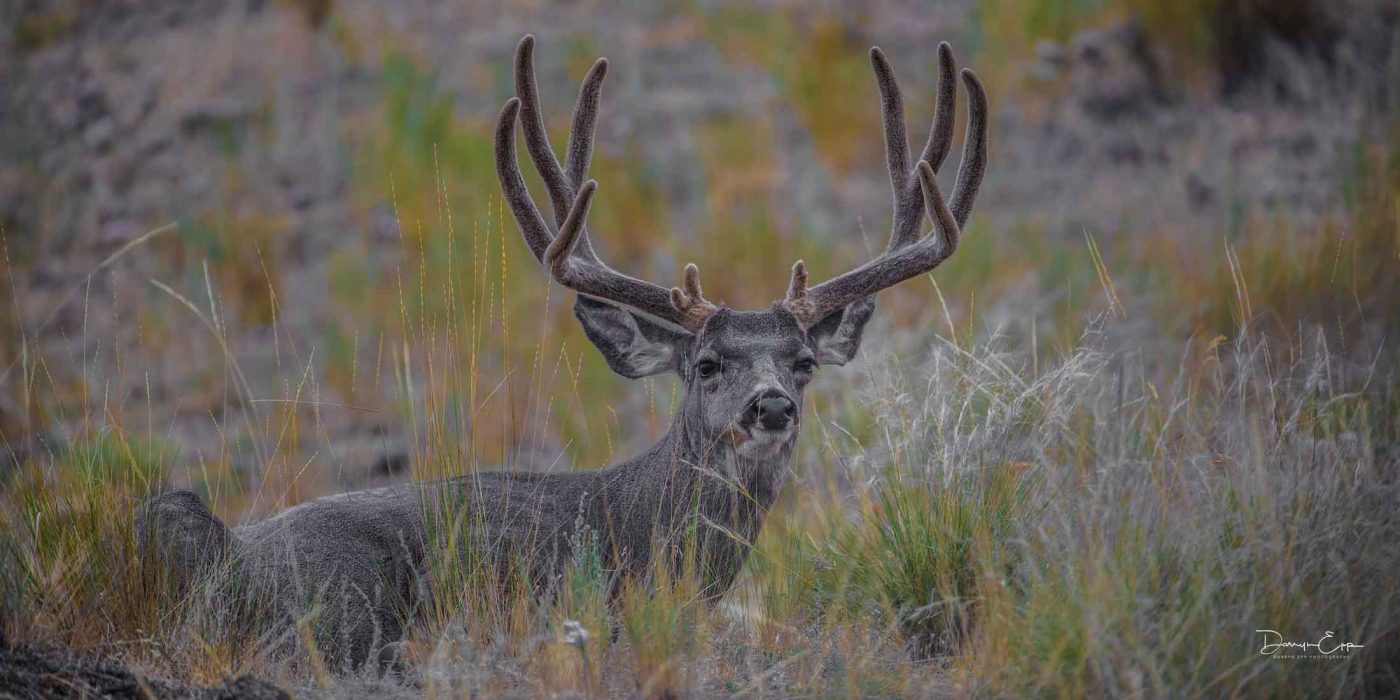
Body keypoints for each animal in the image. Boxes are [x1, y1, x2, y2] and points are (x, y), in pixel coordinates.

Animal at [131, 36, 985, 666]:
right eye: (707, 364)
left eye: (802, 365)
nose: (770, 405)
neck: (643, 533)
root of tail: (225, 553)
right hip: (342, 613)